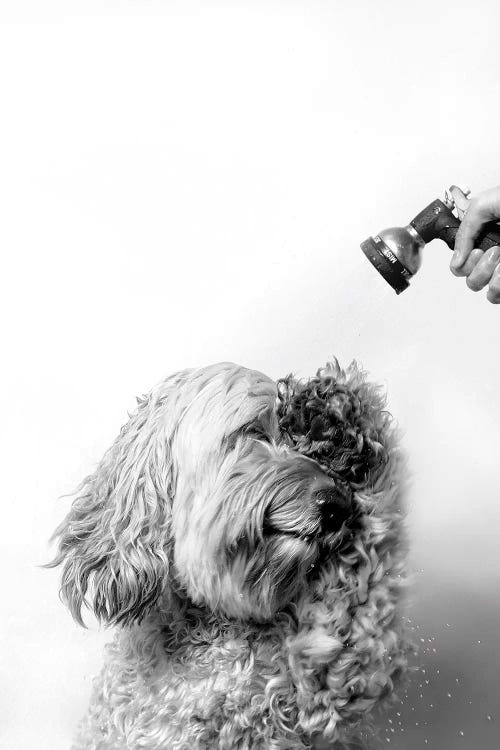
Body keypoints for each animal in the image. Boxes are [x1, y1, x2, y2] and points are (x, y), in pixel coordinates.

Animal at [48, 362, 412, 748]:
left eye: (311, 453)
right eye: (254, 431)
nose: (337, 507)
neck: (209, 626)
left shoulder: (325, 682)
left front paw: (340, 415)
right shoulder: (321, 673)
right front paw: (337, 412)